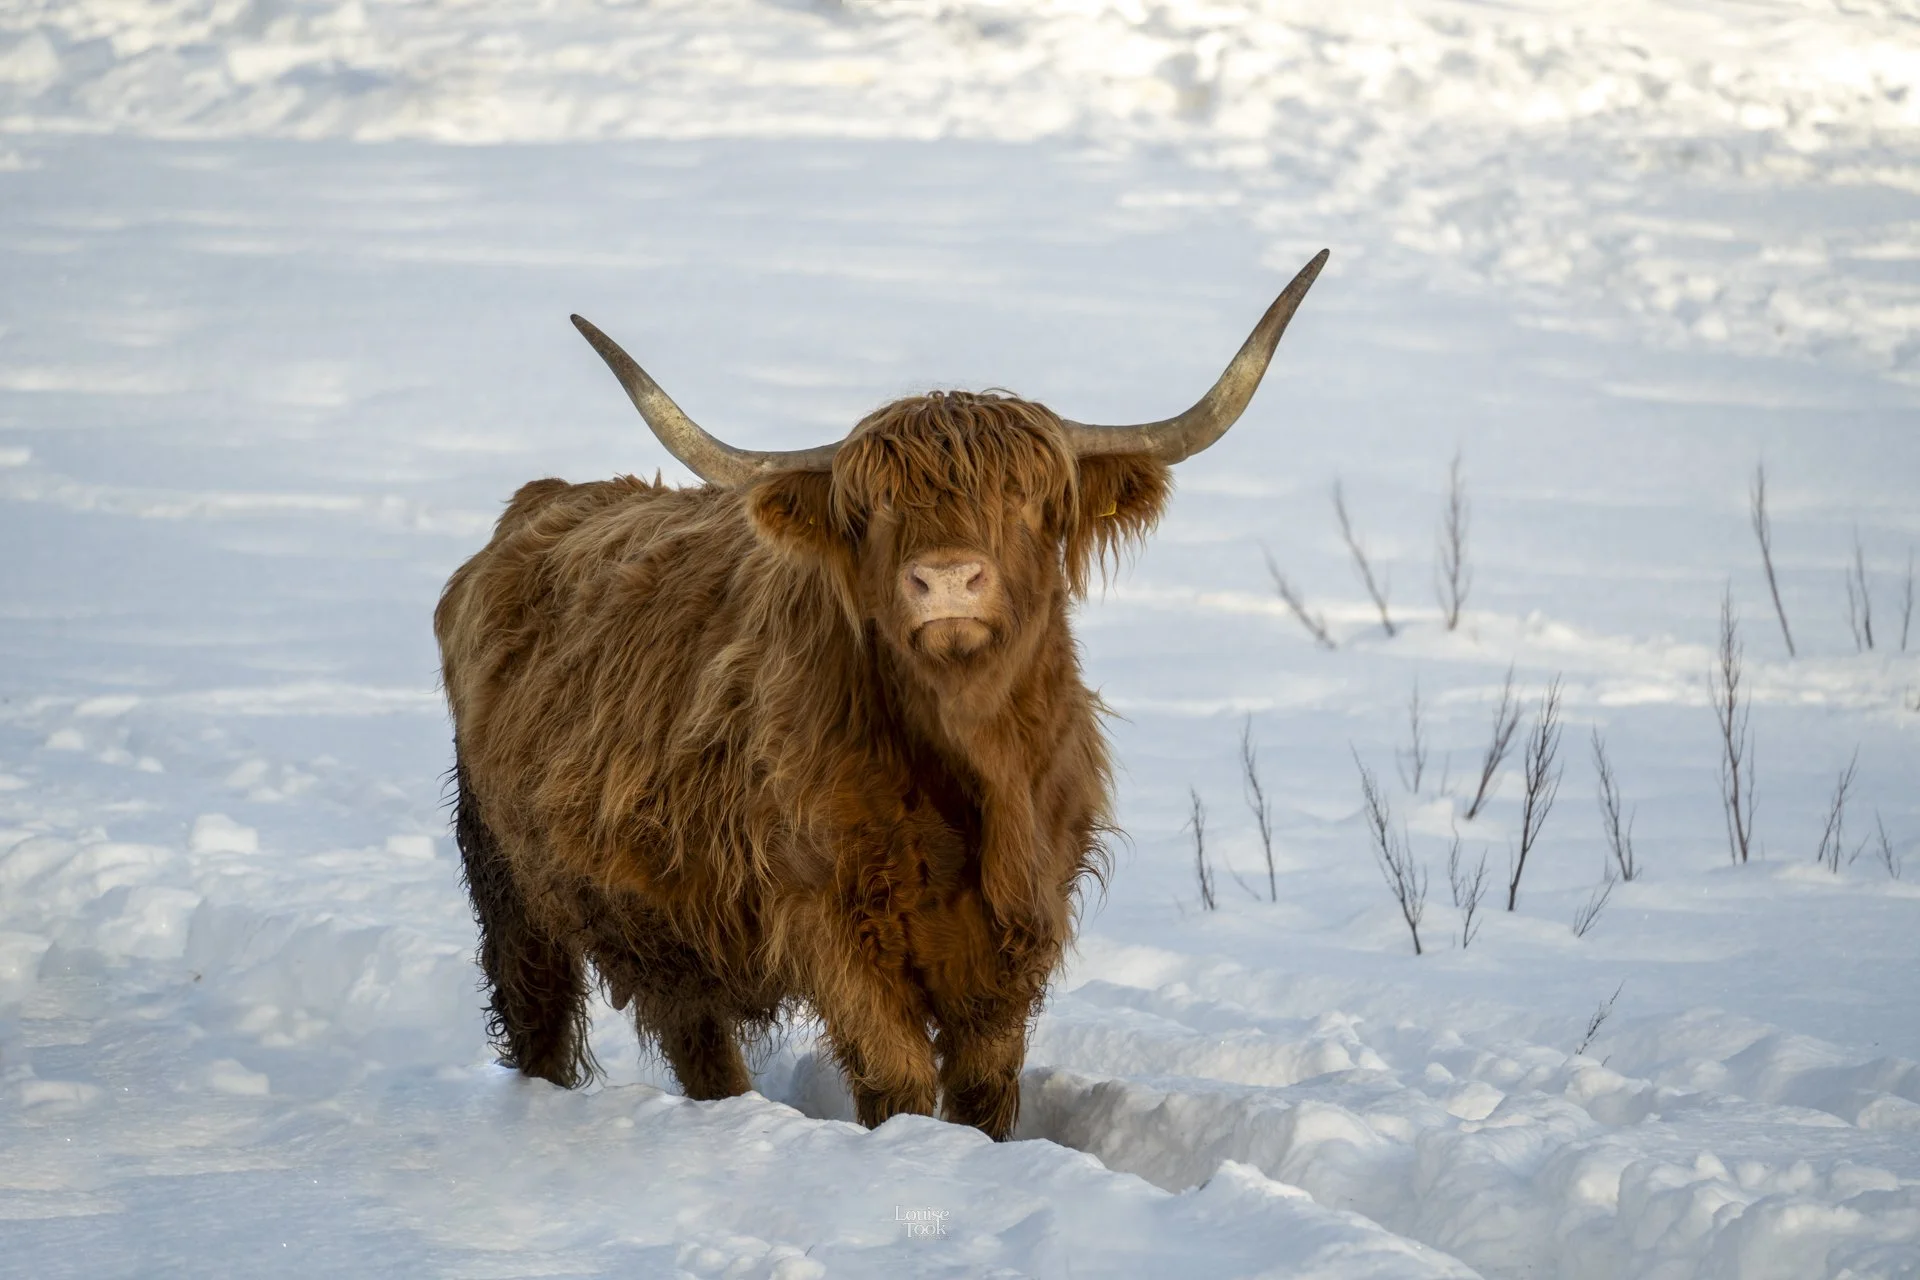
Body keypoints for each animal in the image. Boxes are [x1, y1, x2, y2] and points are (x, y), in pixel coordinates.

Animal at [435, 250, 1327, 1140]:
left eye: (1026, 499)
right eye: (876, 509)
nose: (948, 580)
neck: (975, 773)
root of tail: (544, 499)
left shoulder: (1019, 926)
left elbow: (985, 1084)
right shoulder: (832, 920)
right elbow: (894, 1076)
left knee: (696, 1039)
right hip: (506, 879)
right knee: (538, 1016)